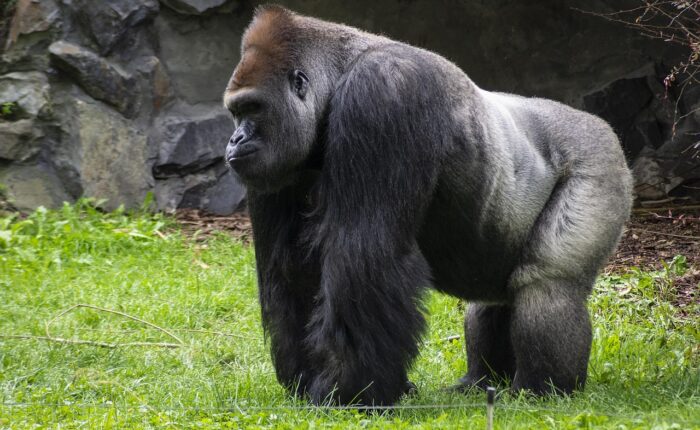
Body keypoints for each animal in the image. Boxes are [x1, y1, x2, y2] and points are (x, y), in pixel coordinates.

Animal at [222, 5, 633, 406]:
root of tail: (604, 128)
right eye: (236, 112)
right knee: (495, 299)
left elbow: (363, 254)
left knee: (546, 286)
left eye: (253, 108)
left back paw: (542, 390)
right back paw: (481, 381)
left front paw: (348, 390)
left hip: (598, 161)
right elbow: (291, 269)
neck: (339, 74)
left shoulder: (383, 92)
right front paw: (308, 379)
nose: (234, 140)